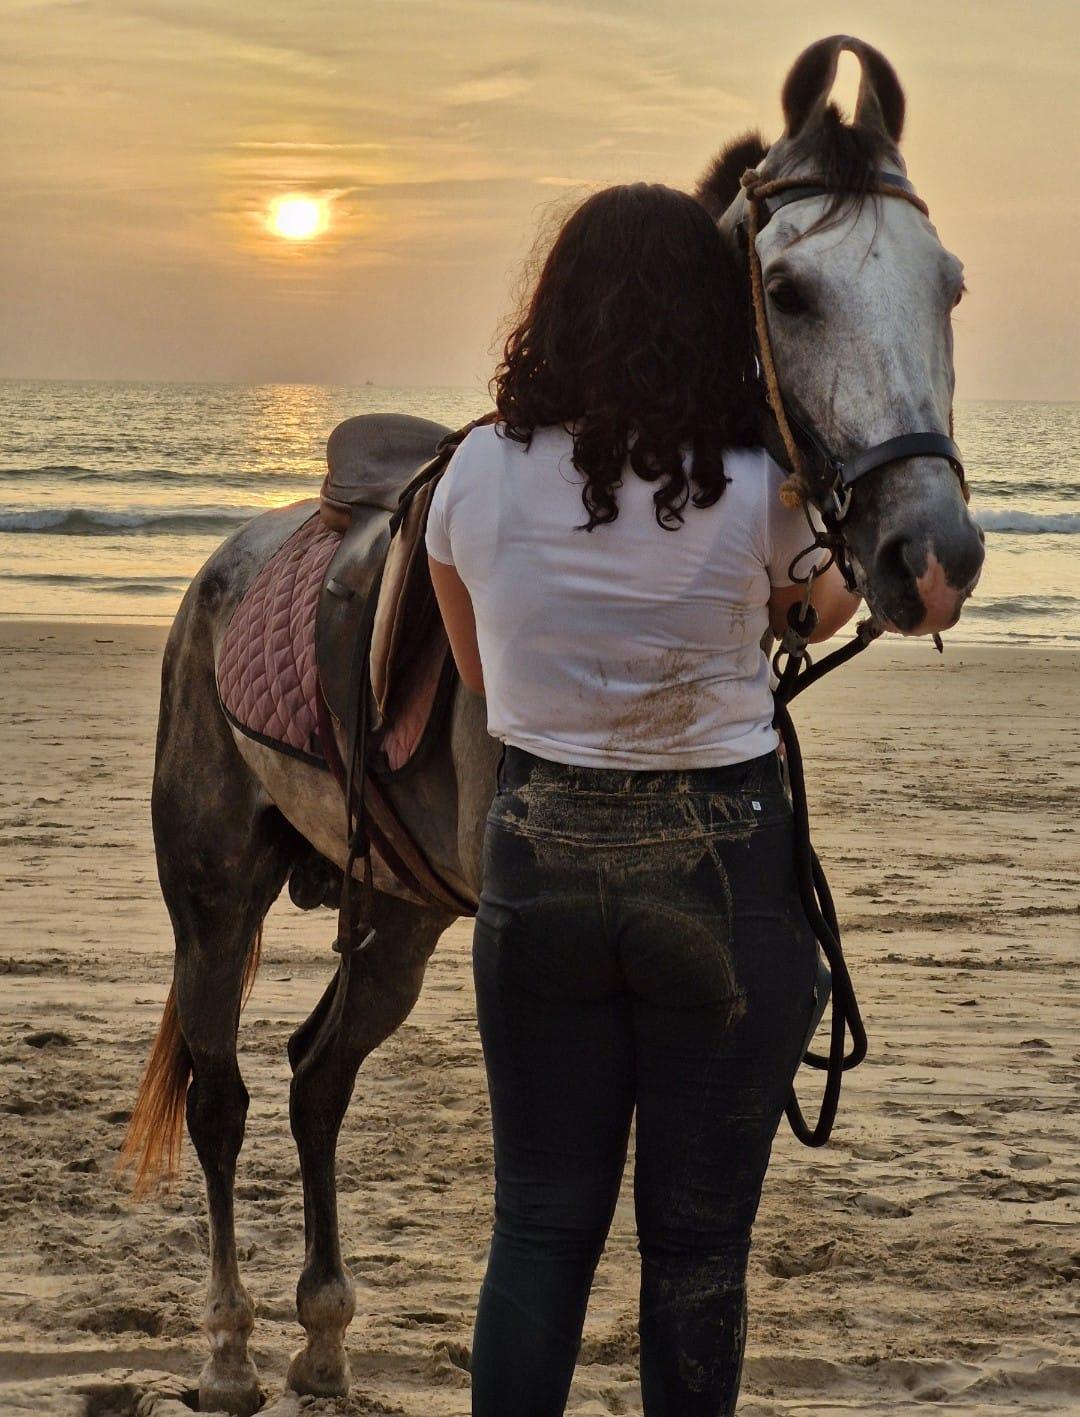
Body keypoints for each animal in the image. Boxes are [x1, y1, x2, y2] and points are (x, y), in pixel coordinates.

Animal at [122, 35, 985, 1415]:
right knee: (223, 1097)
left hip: (400, 914)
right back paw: (232, 1345)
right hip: (215, 899)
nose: (933, 555)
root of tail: (227, 566)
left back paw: (324, 1334)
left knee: (316, 1080)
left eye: (946, 286)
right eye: (788, 291)